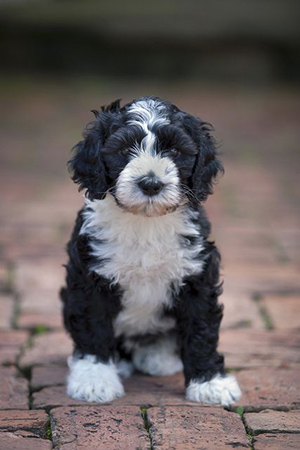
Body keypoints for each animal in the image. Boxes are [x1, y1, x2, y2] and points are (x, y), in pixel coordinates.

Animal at [60, 96, 241, 406]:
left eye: (175, 150)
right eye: (123, 150)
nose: (151, 184)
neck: (145, 222)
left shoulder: (197, 275)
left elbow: (201, 328)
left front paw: (209, 382)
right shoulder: (90, 277)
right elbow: (92, 329)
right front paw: (94, 379)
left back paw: (158, 357)